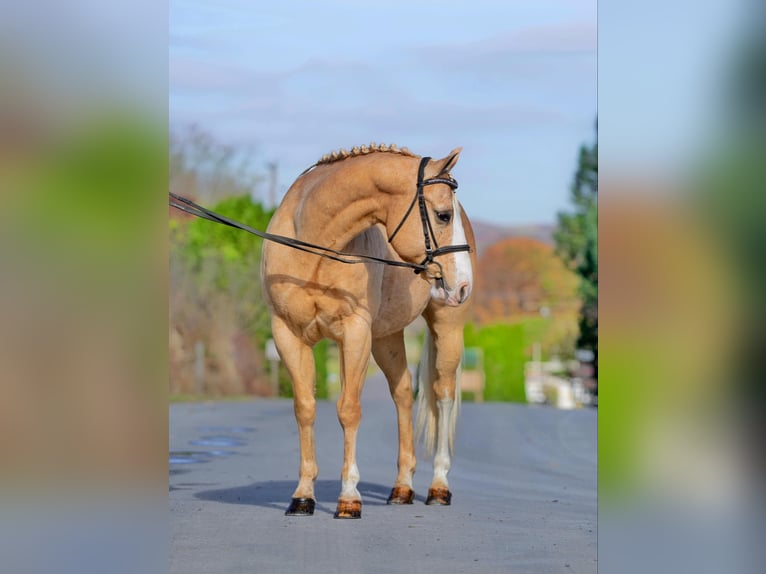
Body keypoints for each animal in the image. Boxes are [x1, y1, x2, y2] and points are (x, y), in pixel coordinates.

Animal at [266, 142, 480, 520]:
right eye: (443, 215)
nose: (463, 286)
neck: (311, 246)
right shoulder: (286, 334)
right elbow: (305, 408)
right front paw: (303, 496)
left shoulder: (355, 333)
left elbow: (349, 409)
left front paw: (349, 498)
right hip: (386, 338)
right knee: (404, 392)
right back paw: (402, 488)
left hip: (446, 327)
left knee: (442, 394)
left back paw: (438, 487)